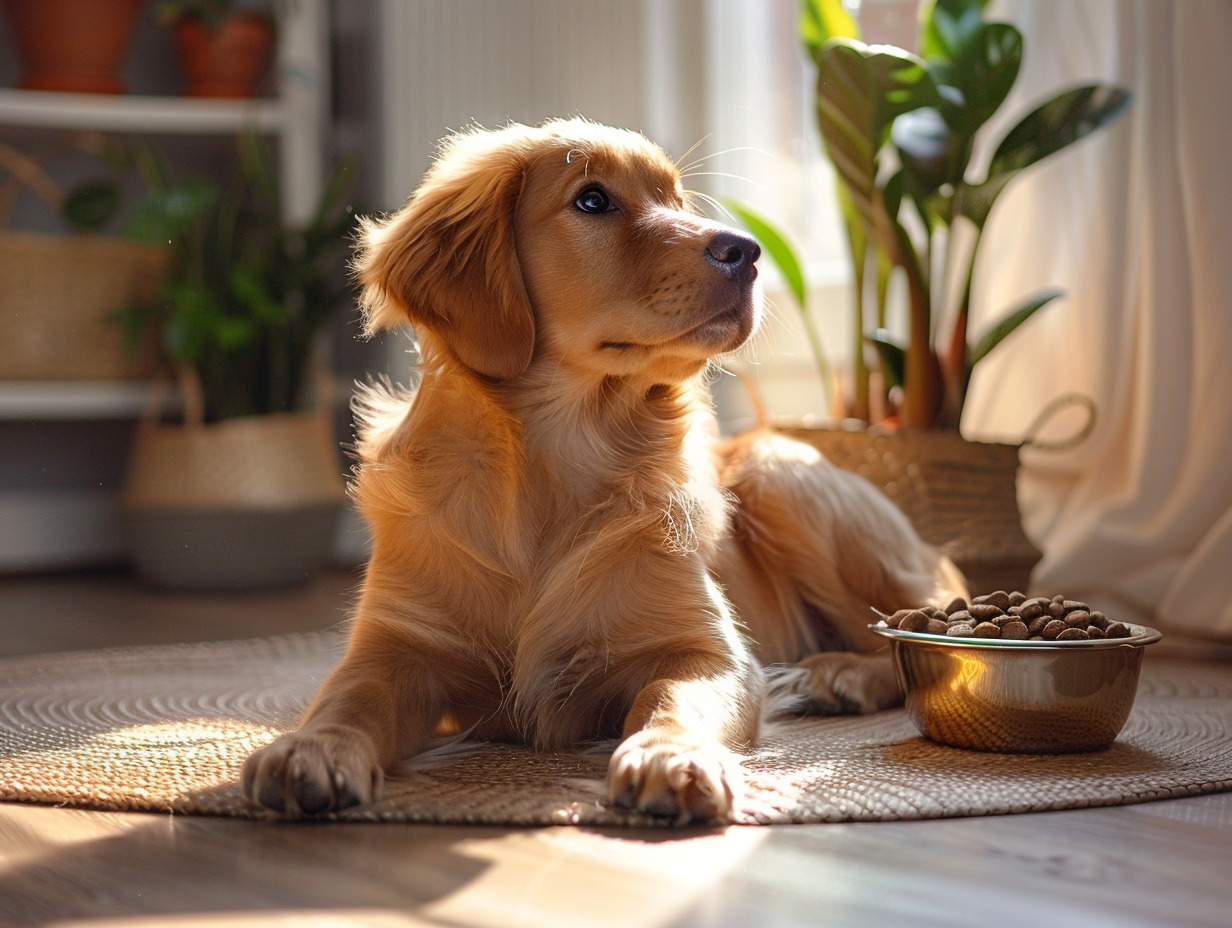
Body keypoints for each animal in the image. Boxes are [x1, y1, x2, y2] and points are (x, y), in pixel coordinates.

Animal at [240, 119, 960, 823]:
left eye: (677, 199)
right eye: (592, 200)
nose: (749, 251)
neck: (557, 462)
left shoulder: (708, 651)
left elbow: (672, 697)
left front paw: (671, 757)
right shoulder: (397, 642)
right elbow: (349, 696)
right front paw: (311, 747)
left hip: (779, 474)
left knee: (912, 620)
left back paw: (833, 675)